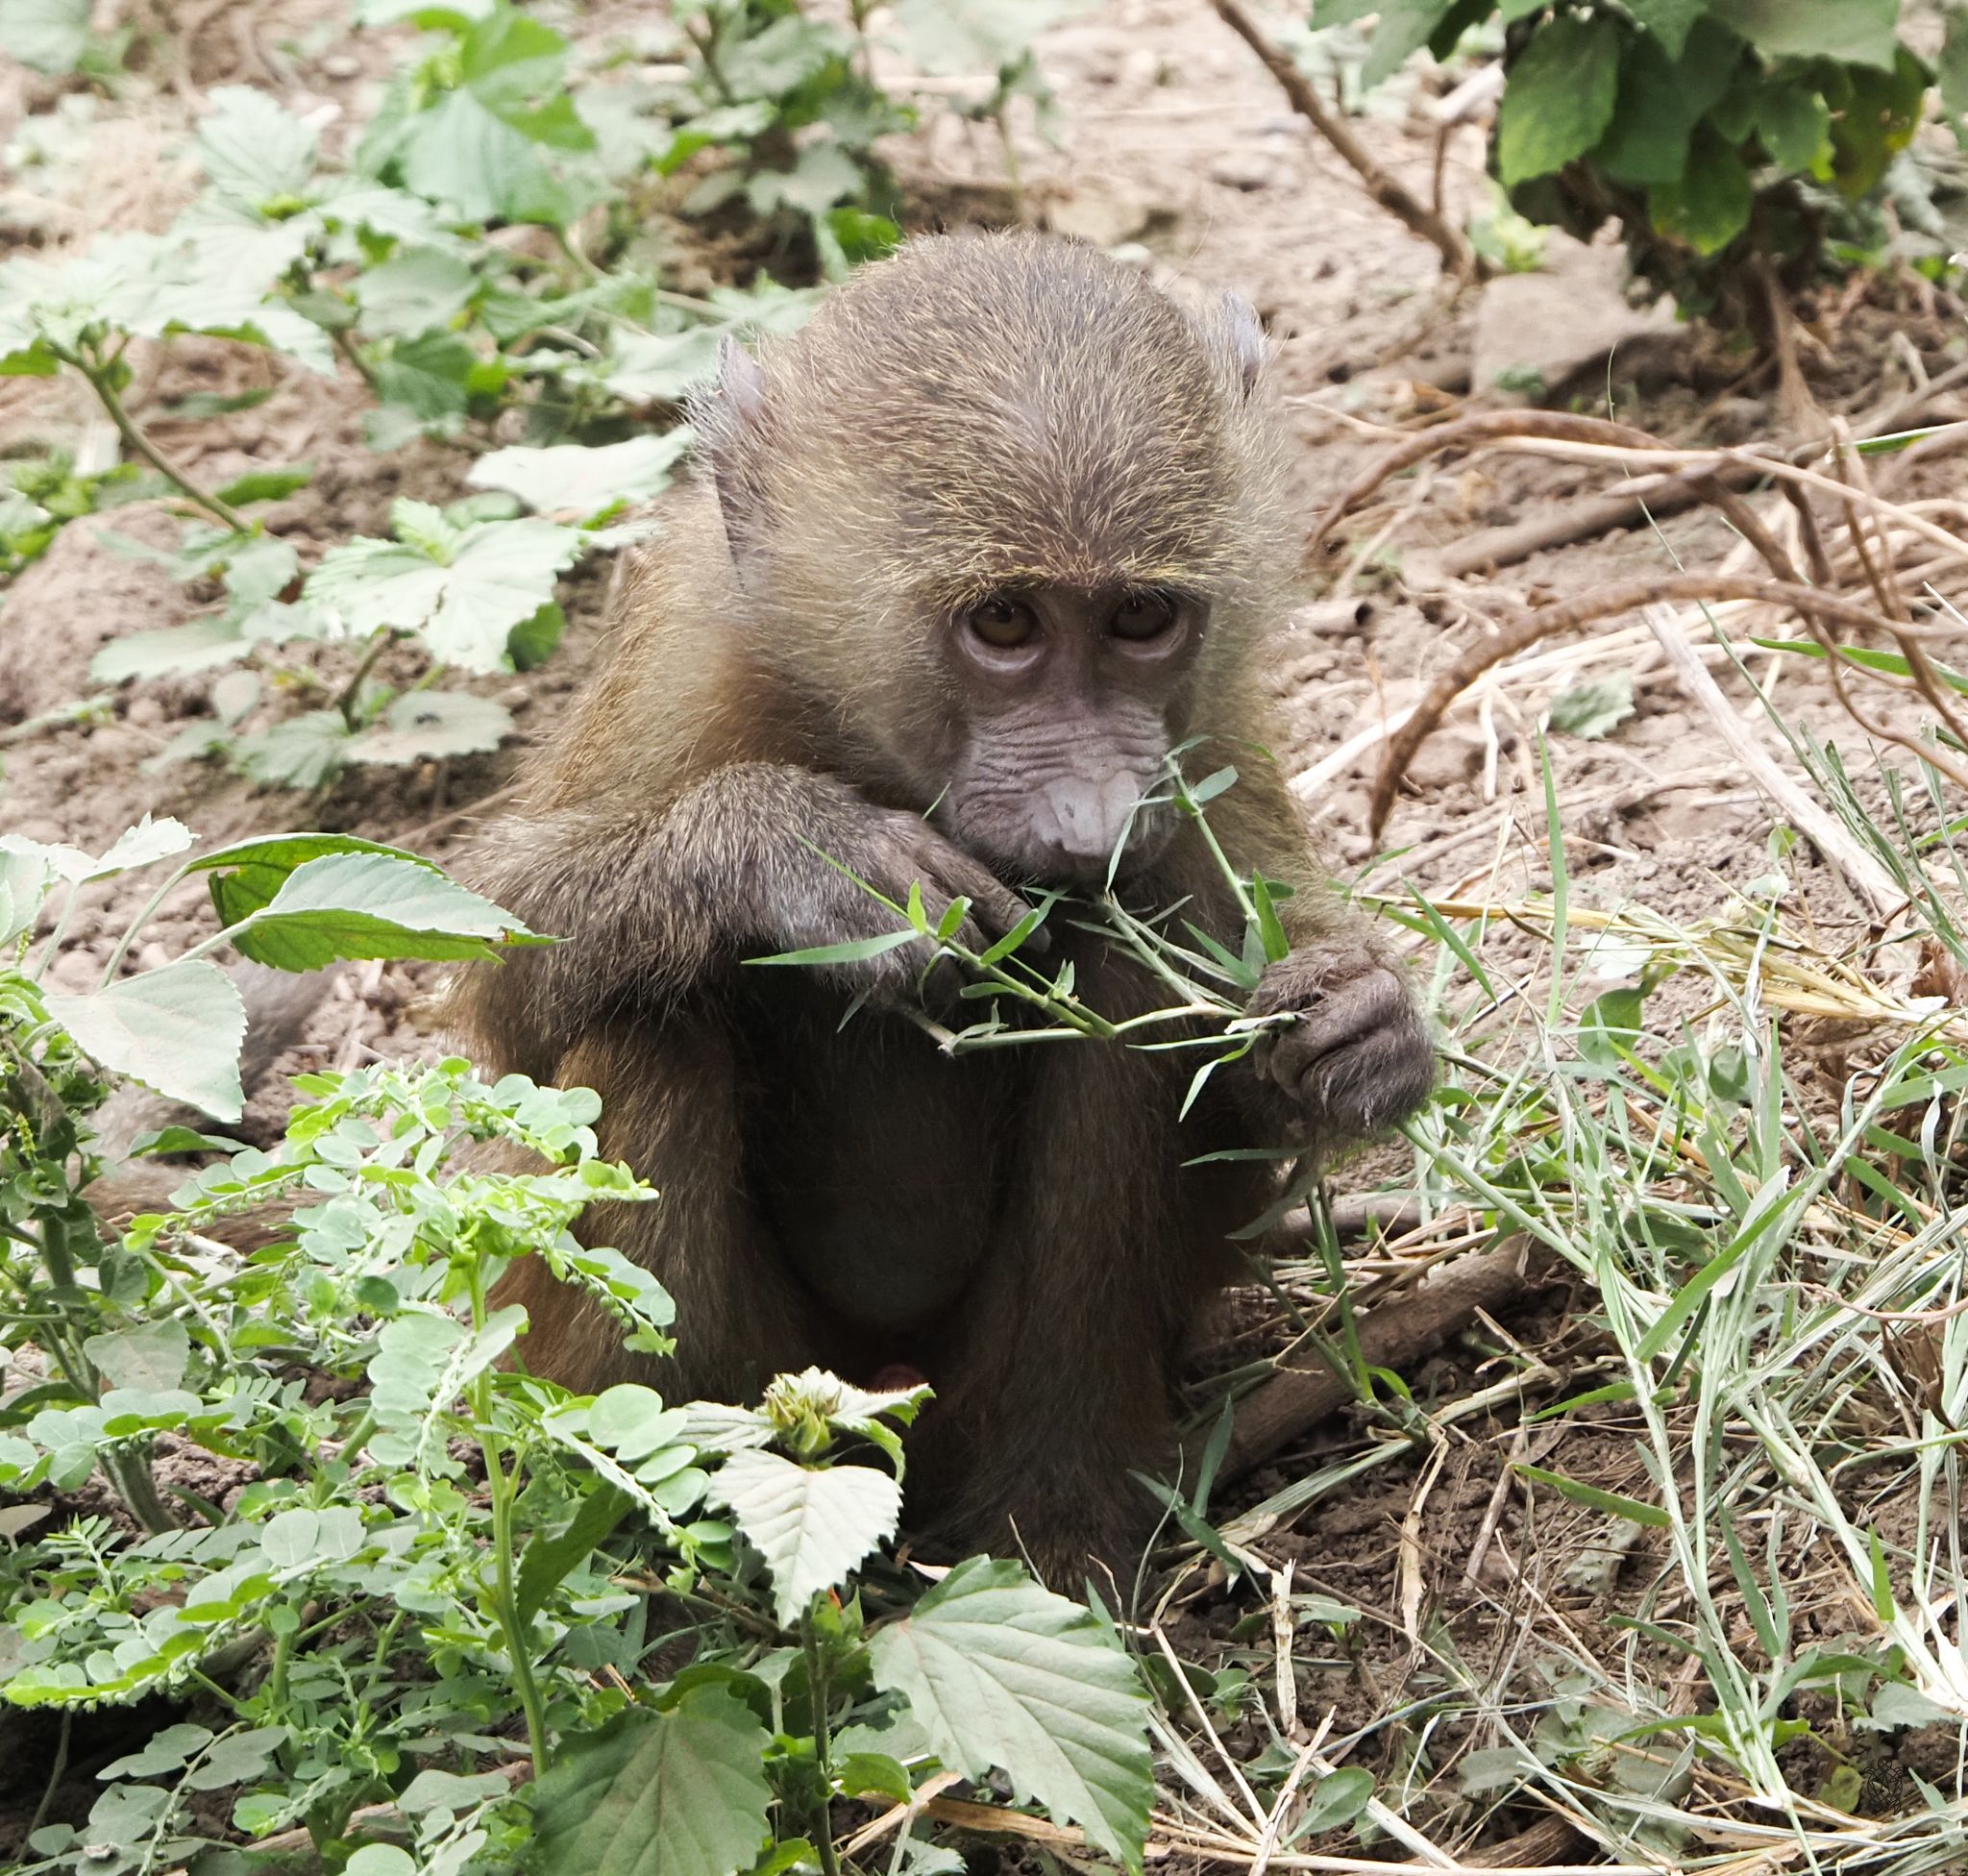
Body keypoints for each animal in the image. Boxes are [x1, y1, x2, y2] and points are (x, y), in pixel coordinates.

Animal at [445, 230, 1436, 1581]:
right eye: (1003, 621)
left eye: (1140, 618)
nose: (1093, 818)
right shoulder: (684, 650)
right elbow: (503, 970)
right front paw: (802, 859)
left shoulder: (1207, 731)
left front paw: (1355, 1025)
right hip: (780, 1373)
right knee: (650, 1016)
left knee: (1112, 1001)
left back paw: (1053, 1507)